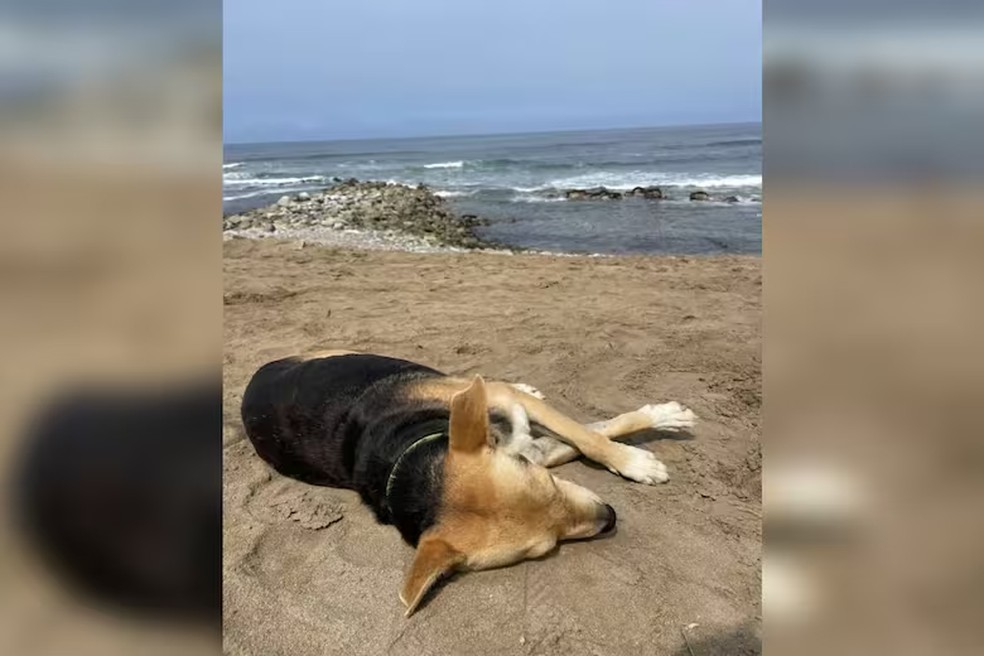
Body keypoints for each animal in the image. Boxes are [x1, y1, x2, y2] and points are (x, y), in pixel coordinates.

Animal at [242, 354, 696, 616]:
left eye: (549, 483)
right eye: (544, 549)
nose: (611, 517)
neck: (409, 452)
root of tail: (257, 373)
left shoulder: (522, 430)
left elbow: (590, 435)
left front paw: (643, 447)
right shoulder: (533, 448)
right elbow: (591, 433)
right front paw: (637, 452)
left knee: (496, 384)